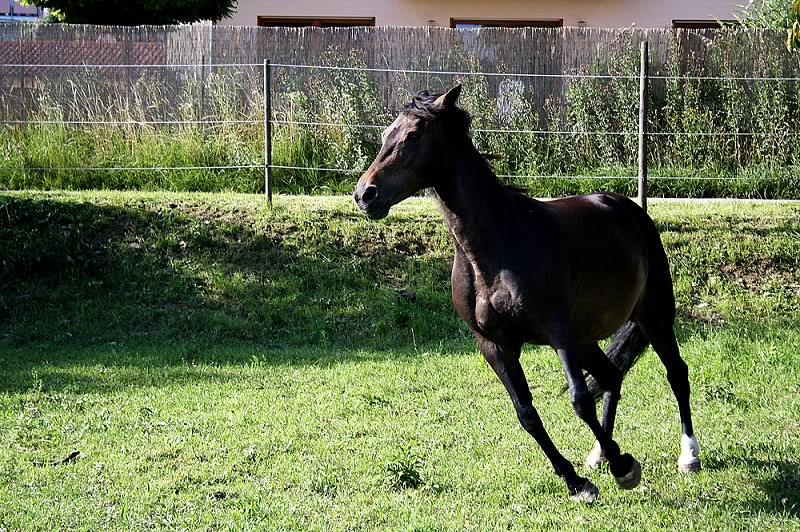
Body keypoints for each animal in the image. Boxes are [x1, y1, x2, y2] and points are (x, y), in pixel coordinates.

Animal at [354, 86, 696, 502]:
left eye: (414, 135)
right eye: (387, 132)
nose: (365, 194)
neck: (495, 248)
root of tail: (627, 207)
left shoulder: (558, 332)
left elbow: (579, 401)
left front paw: (624, 468)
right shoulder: (495, 346)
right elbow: (527, 414)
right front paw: (579, 481)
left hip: (654, 316)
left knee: (676, 374)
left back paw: (688, 456)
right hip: (587, 339)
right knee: (612, 376)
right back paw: (599, 455)